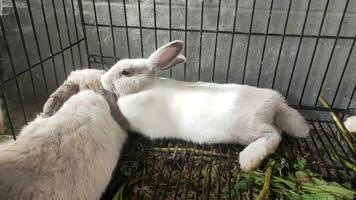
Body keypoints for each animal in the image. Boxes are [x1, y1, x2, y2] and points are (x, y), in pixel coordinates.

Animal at [101, 39, 308, 171]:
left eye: (126, 72)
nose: (103, 80)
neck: (147, 87)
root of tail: (276, 101)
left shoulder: (132, 116)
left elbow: (118, 112)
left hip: (248, 128)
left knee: (274, 135)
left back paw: (249, 159)